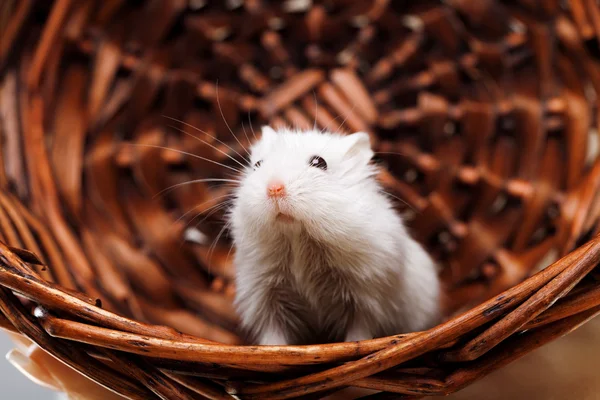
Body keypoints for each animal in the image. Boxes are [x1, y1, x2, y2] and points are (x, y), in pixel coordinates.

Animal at [230, 127, 440, 344]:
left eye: (319, 162)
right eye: (257, 164)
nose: (274, 188)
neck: (297, 236)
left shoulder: (367, 295)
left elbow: (359, 332)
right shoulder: (265, 295)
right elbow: (273, 335)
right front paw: (272, 349)